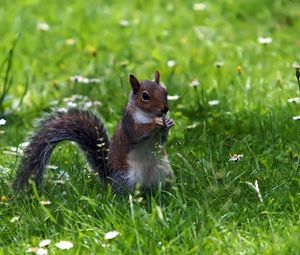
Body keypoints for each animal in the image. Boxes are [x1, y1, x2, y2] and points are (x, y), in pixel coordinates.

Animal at [14, 70, 175, 194]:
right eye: (145, 96)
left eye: (165, 91)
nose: (165, 109)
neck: (148, 115)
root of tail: (110, 180)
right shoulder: (128, 123)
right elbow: (137, 133)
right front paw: (156, 123)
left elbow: (162, 139)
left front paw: (168, 123)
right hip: (128, 176)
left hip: (164, 170)